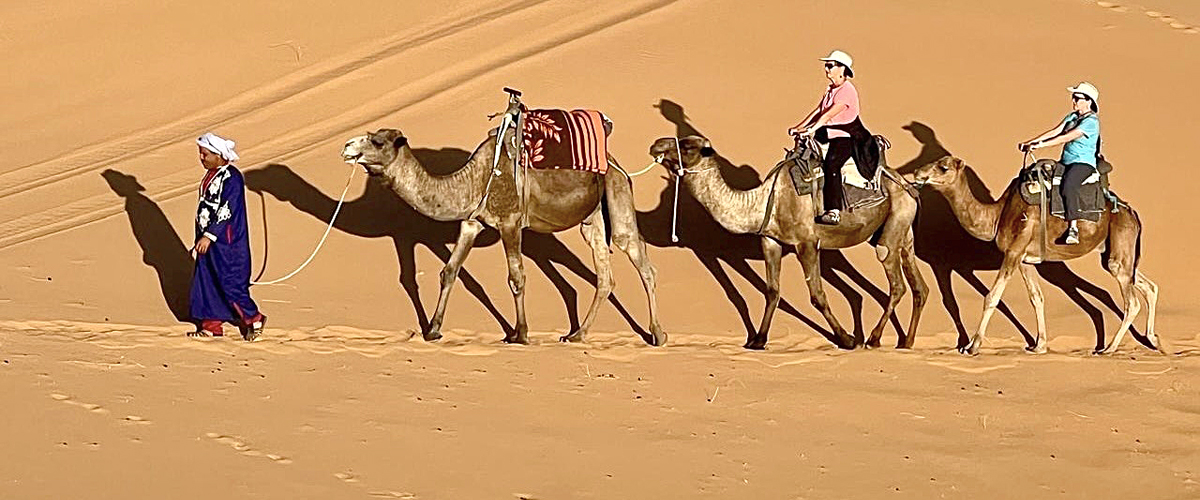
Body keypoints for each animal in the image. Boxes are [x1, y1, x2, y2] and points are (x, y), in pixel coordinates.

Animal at [340, 123, 666, 346]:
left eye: (377, 141)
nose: (346, 146)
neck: (475, 180)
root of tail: (616, 163)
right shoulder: (471, 222)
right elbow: (449, 271)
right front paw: (432, 330)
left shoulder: (510, 222)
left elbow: (516, 277)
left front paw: (519, 334)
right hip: (593, 218)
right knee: (604, 276)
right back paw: (577, 335)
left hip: (617, 193)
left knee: (639, 257)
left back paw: (657, 335)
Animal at [648, 135, 927, 350]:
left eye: (687, 146)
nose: (655, 144)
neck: (761, 202)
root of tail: (907, 185)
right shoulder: (770, 240)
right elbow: (772, 291)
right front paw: (758, 341)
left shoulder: (806, 242)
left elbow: (817, 295)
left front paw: (847, 340)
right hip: (904, 233)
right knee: (919, 287)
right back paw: (906, 342)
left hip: (892, 229)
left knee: (897, 285)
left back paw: (873, 339)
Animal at [912, 155, 1161, 355]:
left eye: (943, 167)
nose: (917, 173)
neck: (997, 216)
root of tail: (1133, 213)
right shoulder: (1024, 259)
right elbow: (1036, 298)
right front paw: (1039, 346)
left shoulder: (1013, 251)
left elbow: (992, 297)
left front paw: (972, 347)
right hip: (1113, 252)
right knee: (1148, 285)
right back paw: (1153, 339)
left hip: (1121, 240)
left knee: (1131, 301)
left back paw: (1109, 348)